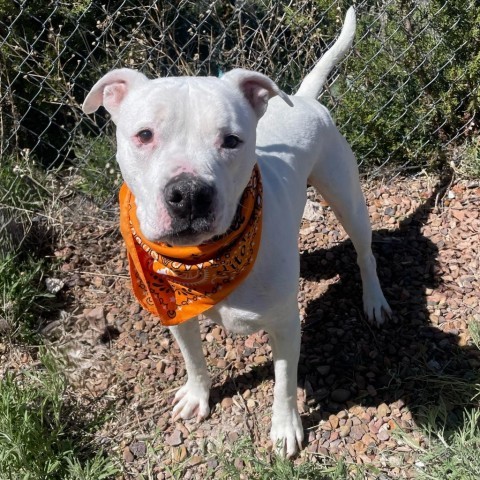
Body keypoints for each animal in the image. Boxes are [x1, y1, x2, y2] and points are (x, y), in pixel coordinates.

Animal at [83, 8, 390, 458]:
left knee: (365, 252)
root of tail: (305, 99)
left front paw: (285, 428)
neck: (206, 260)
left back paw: (374, 300)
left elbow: (283, 383)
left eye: (231, 140)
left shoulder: (285, 324)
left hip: (346, 196)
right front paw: (197, 396)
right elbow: (194, 359)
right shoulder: (174, 310)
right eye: (144, 135)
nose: (189, 194)